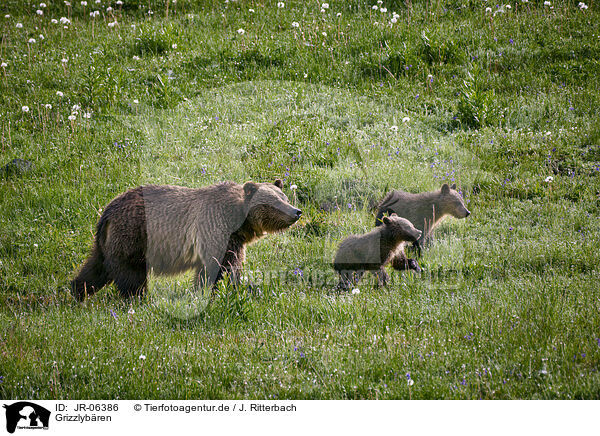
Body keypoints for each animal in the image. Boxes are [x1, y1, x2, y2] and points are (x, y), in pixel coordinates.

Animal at [71, 178, 302, 300]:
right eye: (274, 202)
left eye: (284, 197)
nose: (296, 212)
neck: (240, 223)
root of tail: (107, 212)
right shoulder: (217, 229)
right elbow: (223, 268)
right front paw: (227, 290)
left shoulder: (233, 239)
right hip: (133, 236)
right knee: (131, 275)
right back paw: (138, 298)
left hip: (108, 243)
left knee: (95, 268)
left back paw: (76, 292)